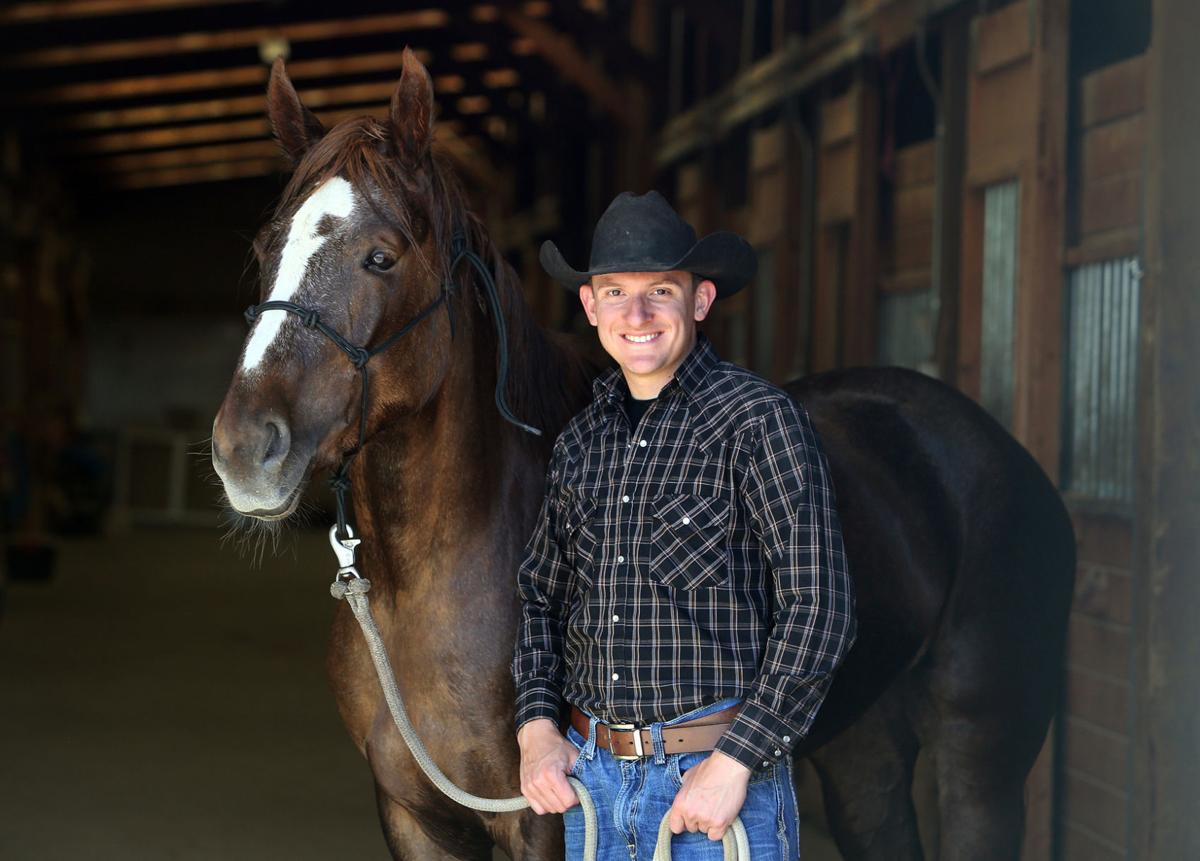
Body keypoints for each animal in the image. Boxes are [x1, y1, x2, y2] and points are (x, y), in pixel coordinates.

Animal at [211, 49, 1075, 861]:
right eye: (265, 247)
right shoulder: (412, 816)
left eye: (382, 257)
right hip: (865, 747)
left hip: (983, 752)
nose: (243, 447)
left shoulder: (545, 822)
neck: (421, 586)